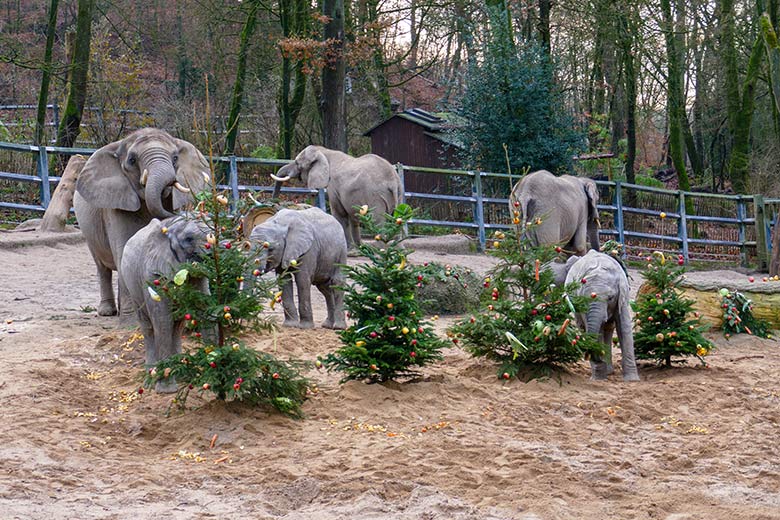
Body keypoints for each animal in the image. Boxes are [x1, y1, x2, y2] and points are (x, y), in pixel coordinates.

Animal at [74, 130, 209, 316]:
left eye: (175, 158)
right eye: (132, 160)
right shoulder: (116, 203)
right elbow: (123, 249)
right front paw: (131, 317)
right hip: (88, 232)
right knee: (102, 268)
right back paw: (108, 311)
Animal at [119, 213, 210, 388]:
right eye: (189, 239)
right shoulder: (152, 272)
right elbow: (162, 320)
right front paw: (166, 389)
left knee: (177, 328)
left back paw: (181, 376)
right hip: (131, 285)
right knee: (149, 327)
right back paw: (150, 380)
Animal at [270, 144, 402, 250]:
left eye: (298, 163)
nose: (274, 202)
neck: (323, 151)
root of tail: (393, 180)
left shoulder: (333, 186)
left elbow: (340, 213)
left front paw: (349, 249)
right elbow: (353, 216)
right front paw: (358, 248)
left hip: (375, 196)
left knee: (377, 221)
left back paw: (379, 249)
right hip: (399, 194)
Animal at [548, 250, 640, 380]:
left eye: (611, 298)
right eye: (584, 298)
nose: (595, 357)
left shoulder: (623, 295)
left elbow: (624, 327)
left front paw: (632, 380)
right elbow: (596, 330)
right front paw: (599, 377)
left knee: (608, 327)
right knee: (587, 327)